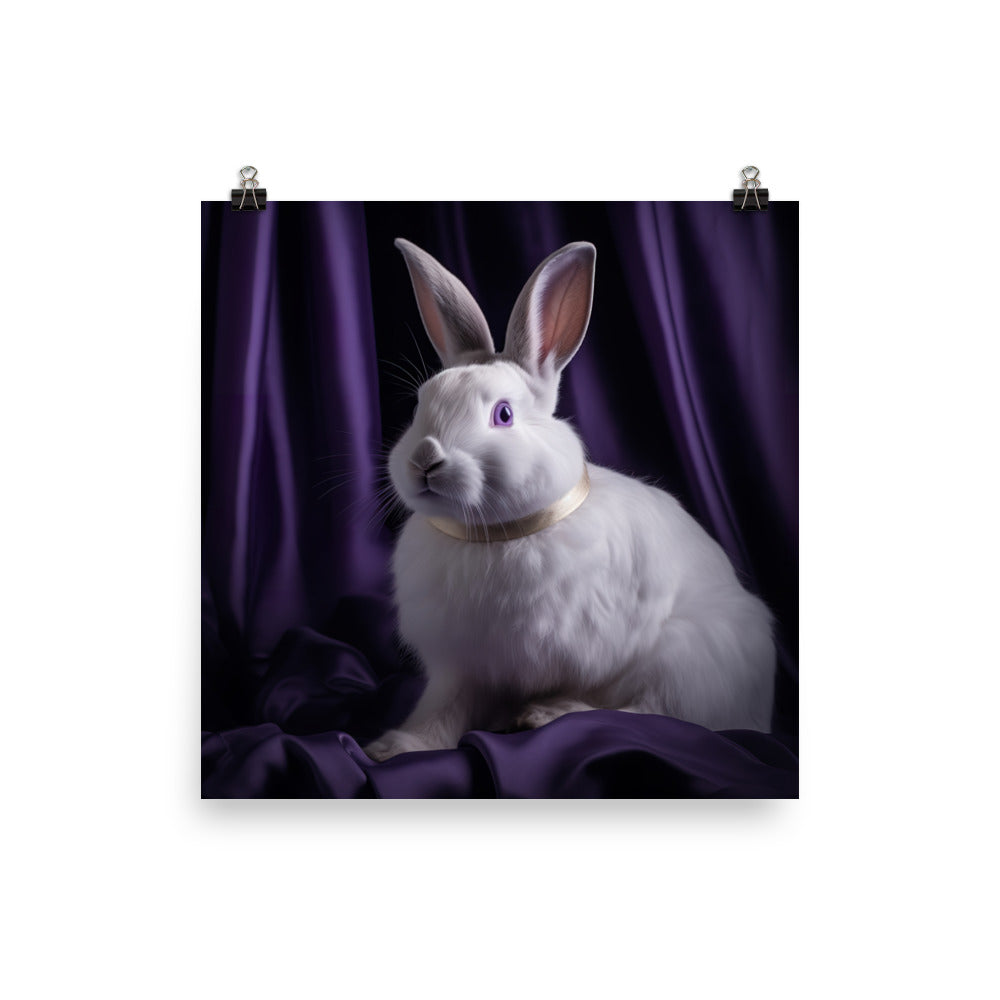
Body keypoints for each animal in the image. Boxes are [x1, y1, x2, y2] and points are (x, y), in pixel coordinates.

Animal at [364, 238, 775, 761]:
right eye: (420, 404)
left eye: (503, 415)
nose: (424, 461)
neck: (493, 534)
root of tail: (761, 708)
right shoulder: (463, 666)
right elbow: (443, 709)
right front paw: (396, 748)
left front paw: (541, 711)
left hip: (686, 658)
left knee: (649, 712)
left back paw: (548, 714)